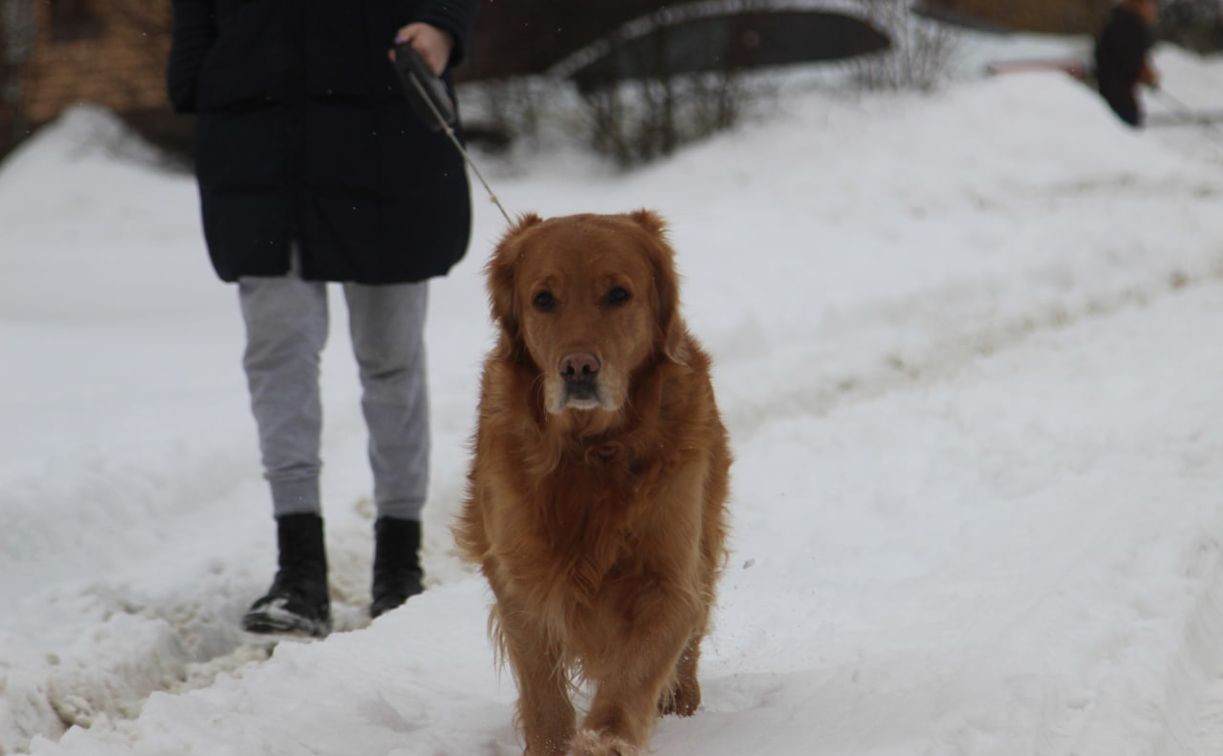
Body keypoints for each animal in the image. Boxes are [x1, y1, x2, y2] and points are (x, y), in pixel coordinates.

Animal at [457, 207, 724, 753]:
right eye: (543, 299)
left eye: (618, 294)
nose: (578, 368)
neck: (588, 454)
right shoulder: (521, 577)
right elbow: (542, 690)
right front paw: (554, 742)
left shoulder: (669, 578)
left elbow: (635, 671)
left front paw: (606, 736)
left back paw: (682, 702)